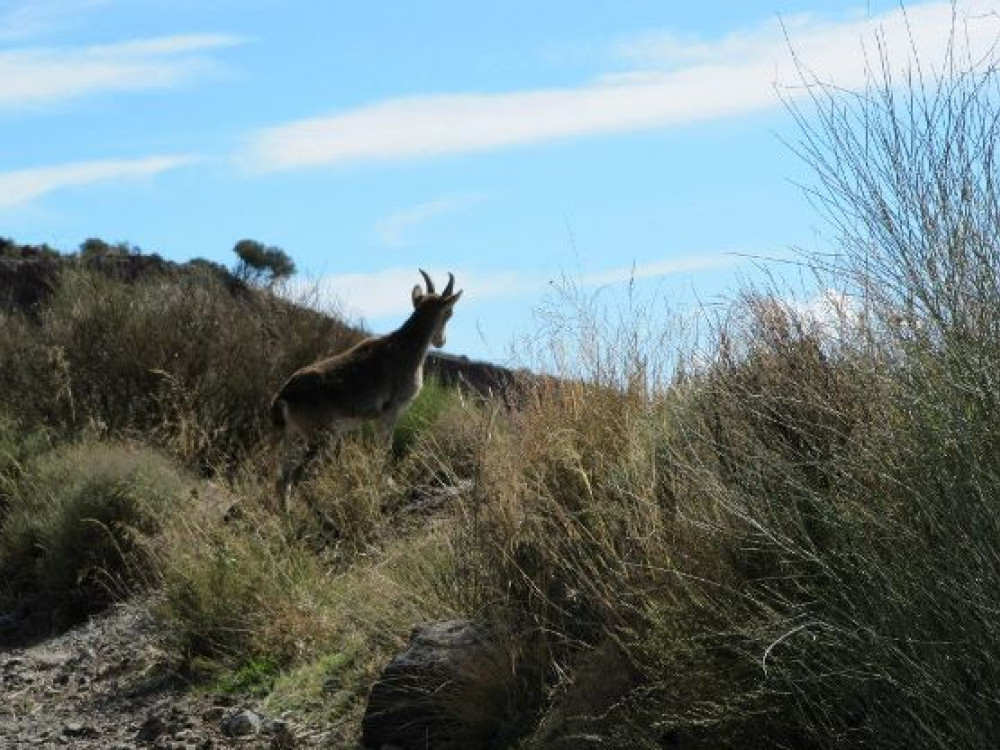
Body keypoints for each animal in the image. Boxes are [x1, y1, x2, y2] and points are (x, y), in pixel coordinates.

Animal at [272, 268, 462, 508]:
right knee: (295, 476)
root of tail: (284, 396)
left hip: (293, 437)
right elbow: (385, 449)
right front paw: (387, 485)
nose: (441, 341)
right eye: (450, 312)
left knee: (282, 478)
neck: (406, 347)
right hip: (320, 437)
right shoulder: (390, 412)